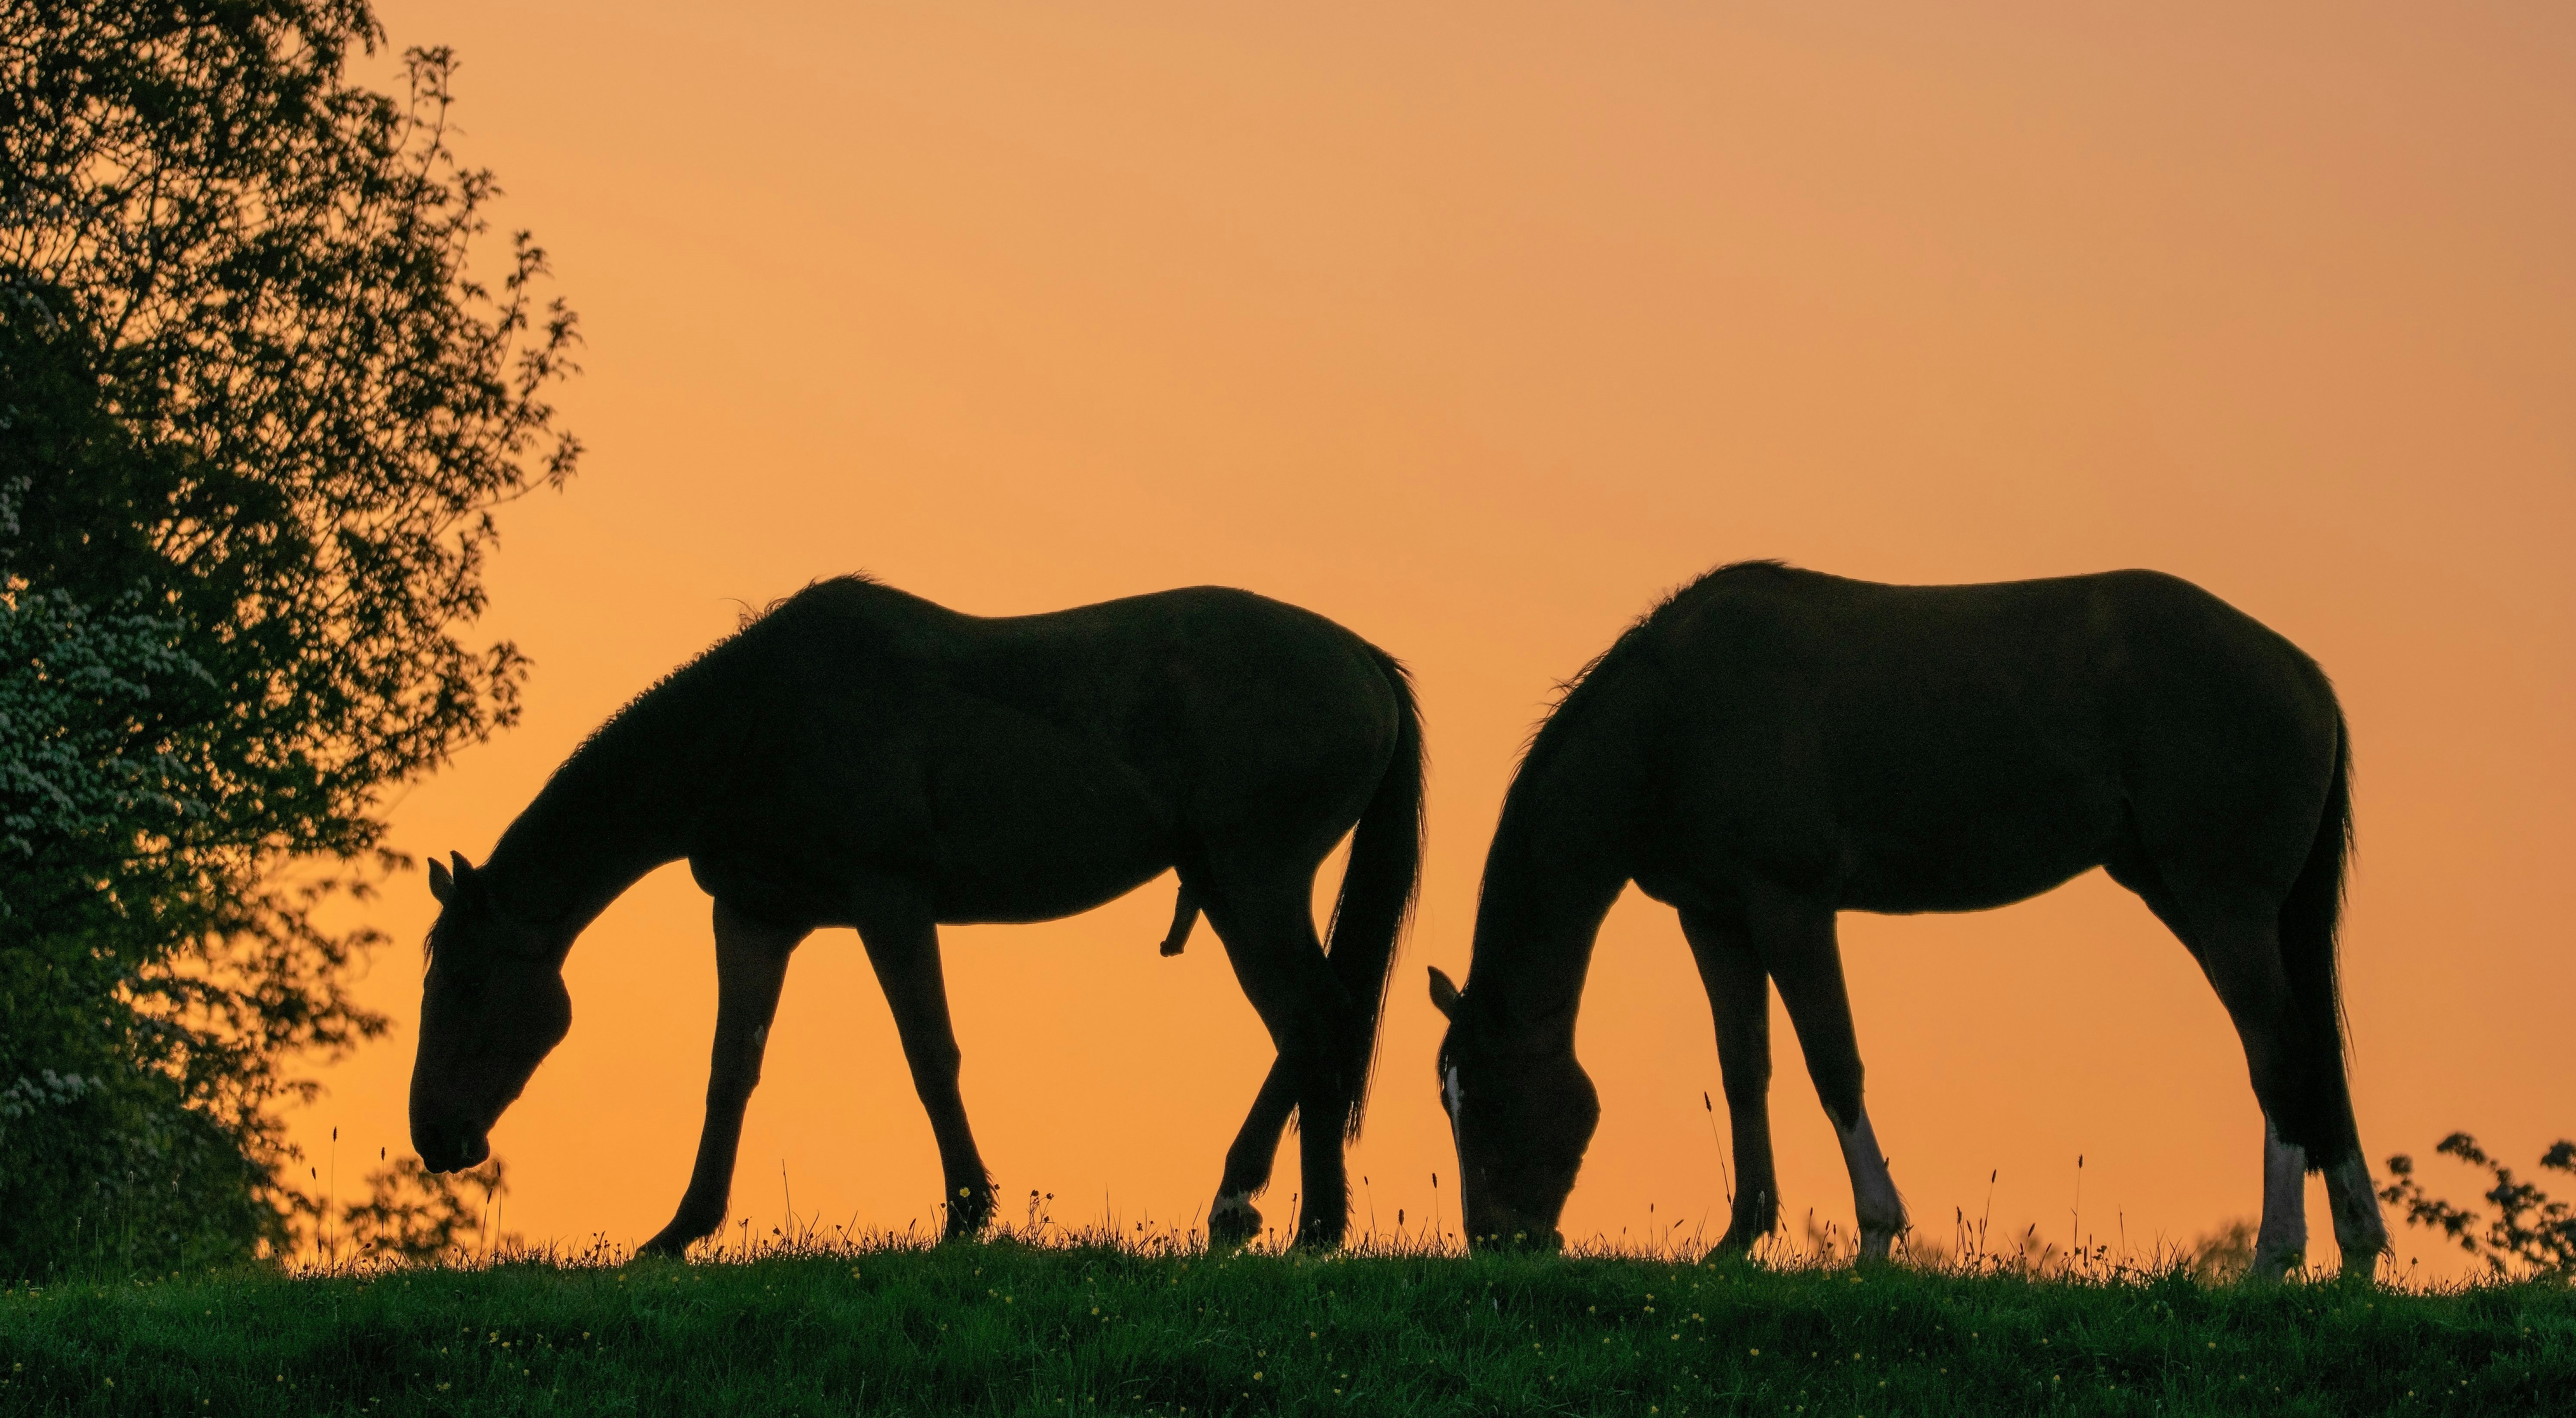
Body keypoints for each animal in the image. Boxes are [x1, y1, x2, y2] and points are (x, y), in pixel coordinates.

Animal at [410, 575, 1422, 1254]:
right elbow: (730, 1070)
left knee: (1314, 1019)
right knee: (1313, 1029)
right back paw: (1314, 1225)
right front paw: (681, 1228)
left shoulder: (889, 900)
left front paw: (968, 1212)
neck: (755, 721)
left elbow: (929, 1055)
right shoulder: (753, 916)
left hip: (1255, 882)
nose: (432, 1135)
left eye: (464, 984)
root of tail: (1361, 658)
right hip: (1228, 889)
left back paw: (1243, 1202)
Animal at [1426, 561, 2389, 1280]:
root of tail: (2302, 674)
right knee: (2310, 1053)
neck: (1676, 719)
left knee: (2277, 1049)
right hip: (2188, 893)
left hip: (2222, 903)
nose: (1496, 1241)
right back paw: (2356, 1246)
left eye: (1489, 1094)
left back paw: (2275, 1256)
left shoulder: (1791, 908)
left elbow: (1832, 1064)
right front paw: (1738, 1239)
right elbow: (1745, 1072)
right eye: (1449, 1100)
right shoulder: (1714, 919)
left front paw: (1877, 1235)